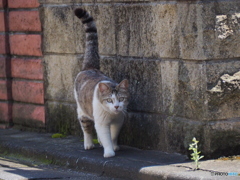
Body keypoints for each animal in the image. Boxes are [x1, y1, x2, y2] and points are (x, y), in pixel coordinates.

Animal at [73, 8, 129, 158]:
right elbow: (105, 135)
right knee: (86, 127)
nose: (116, 106)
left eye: (121, 98)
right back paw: (88, 144)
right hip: (82, 111)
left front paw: (114, 146)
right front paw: (109, 152)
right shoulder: (101, 122)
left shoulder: (119, 121)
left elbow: (113, 135)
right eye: (109, 100)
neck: (111, 115)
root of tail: (90, 68)